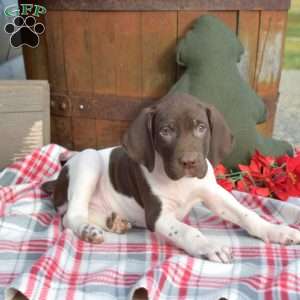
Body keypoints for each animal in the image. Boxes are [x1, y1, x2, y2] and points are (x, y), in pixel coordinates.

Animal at [41, 93, 300, 262]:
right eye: (165, 131)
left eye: (201, 128)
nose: (189, 162)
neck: (181, 182)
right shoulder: (159, 216)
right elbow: (188, 231)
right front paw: (208, 245)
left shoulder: (214, 193)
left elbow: (247, 214)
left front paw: (277, 231)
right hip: (88, 160)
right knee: (72, 215)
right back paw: (88, 230)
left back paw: (114, 221)